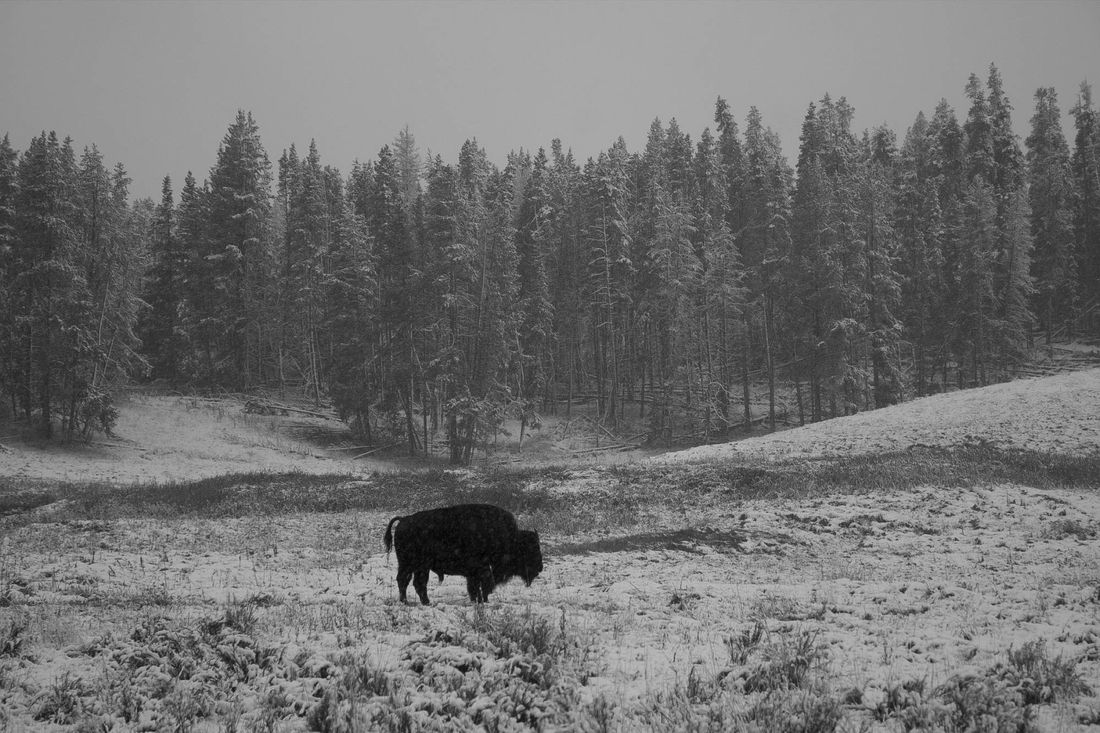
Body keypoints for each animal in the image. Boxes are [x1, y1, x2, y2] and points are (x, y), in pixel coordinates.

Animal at [383, 503, 543, 604]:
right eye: (531, 549)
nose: (540, 568)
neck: (510, 538)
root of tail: (404, 519)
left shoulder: (474, 573)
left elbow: (475, 587)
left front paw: (478, 600)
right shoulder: (482, 570)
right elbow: (484, 585)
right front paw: (482, 600)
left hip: (417, 566)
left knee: (413, 582)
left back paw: (419, 602)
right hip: (412, 565)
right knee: (408, 581)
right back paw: (413, 602)